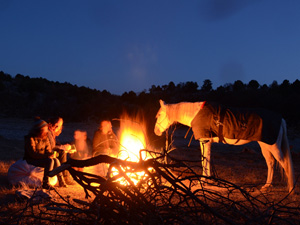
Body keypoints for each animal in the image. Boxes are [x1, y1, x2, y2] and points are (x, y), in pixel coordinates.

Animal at [155, 100, 296, 193]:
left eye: (159, 115)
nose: (155, 132)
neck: (197, 114)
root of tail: (281, 119)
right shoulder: (206, 142)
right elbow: (206, 160)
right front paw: (207, 180)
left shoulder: (205, 141)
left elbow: (205, 161)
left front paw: (204, 181)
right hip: (265, 146)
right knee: (270, 163)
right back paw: (266, 186)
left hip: (273, 147)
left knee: (284, 163)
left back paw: (291, 189)